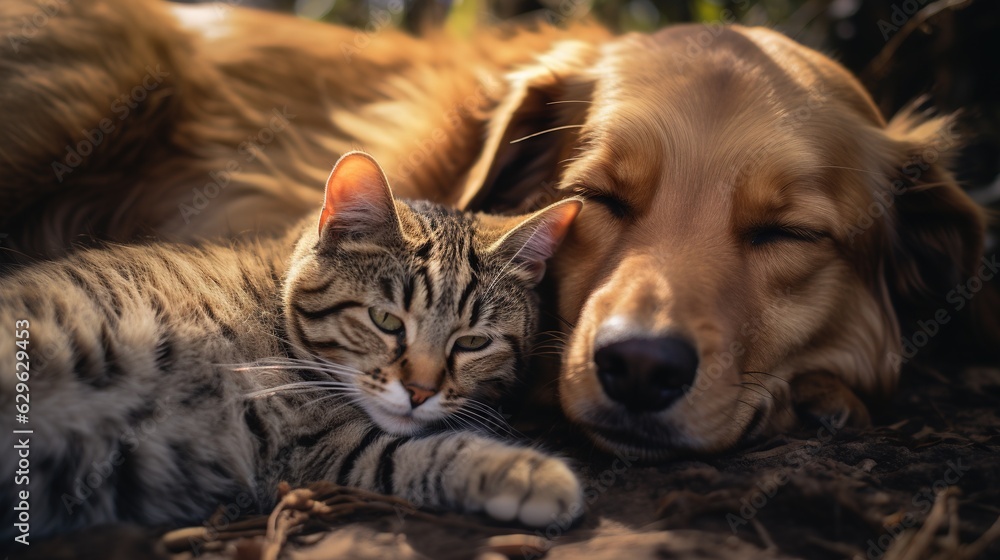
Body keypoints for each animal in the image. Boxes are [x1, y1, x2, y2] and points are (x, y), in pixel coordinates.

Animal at [1, 151, 584, 540]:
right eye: (385, 320)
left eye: (473, 341)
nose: (420, 391)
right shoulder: (314, 451)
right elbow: (430, 451)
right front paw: (534, 473)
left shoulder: (319, 455)